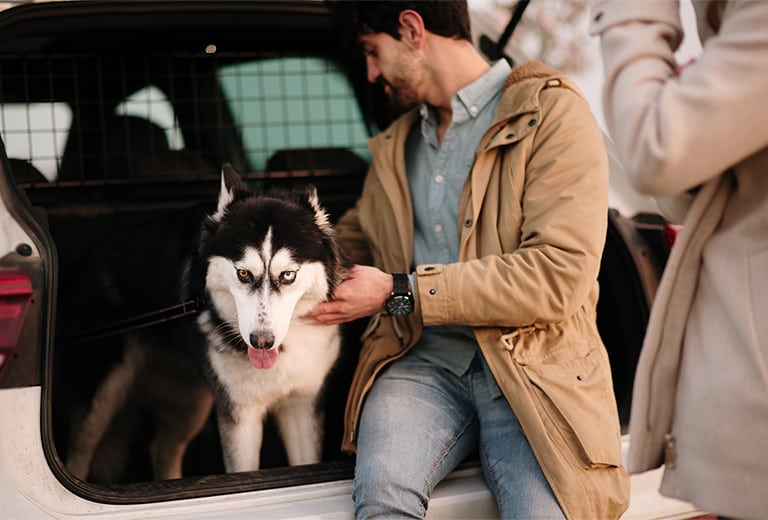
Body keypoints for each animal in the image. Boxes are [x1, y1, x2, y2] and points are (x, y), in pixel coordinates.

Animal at [56, 165, 348, 482]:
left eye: (288, 275)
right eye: (243, 273)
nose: (261, 341)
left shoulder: (303, 405)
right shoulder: (239, 413)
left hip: (193, 400)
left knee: (162, 448)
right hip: (102, 394)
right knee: (80, 452)